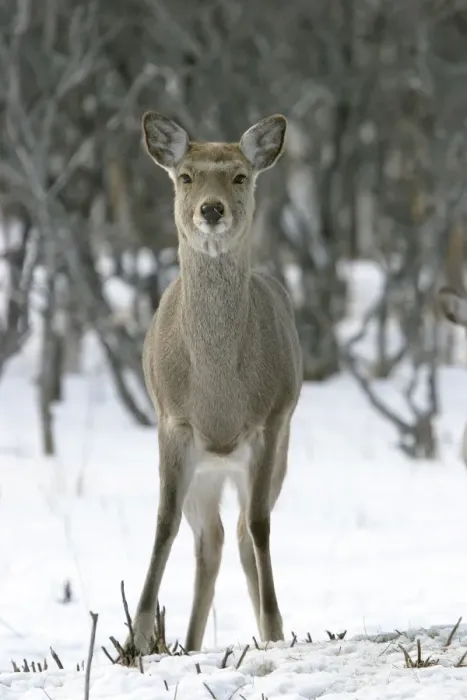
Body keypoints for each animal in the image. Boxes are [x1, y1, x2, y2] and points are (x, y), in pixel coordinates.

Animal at [126, 111, 303, 655]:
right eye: (186, 176)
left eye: (239, 176)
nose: (211, 208)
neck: (219, 395)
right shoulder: (172, 423)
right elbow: (163, 522)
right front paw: (139, 635)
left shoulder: (270, 421)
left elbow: (261, 527)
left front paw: (273, 626)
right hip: (203, 472)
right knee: (212, 539)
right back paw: (189, 640)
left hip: (274, 453)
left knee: (242, 532)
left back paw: (264, 628)